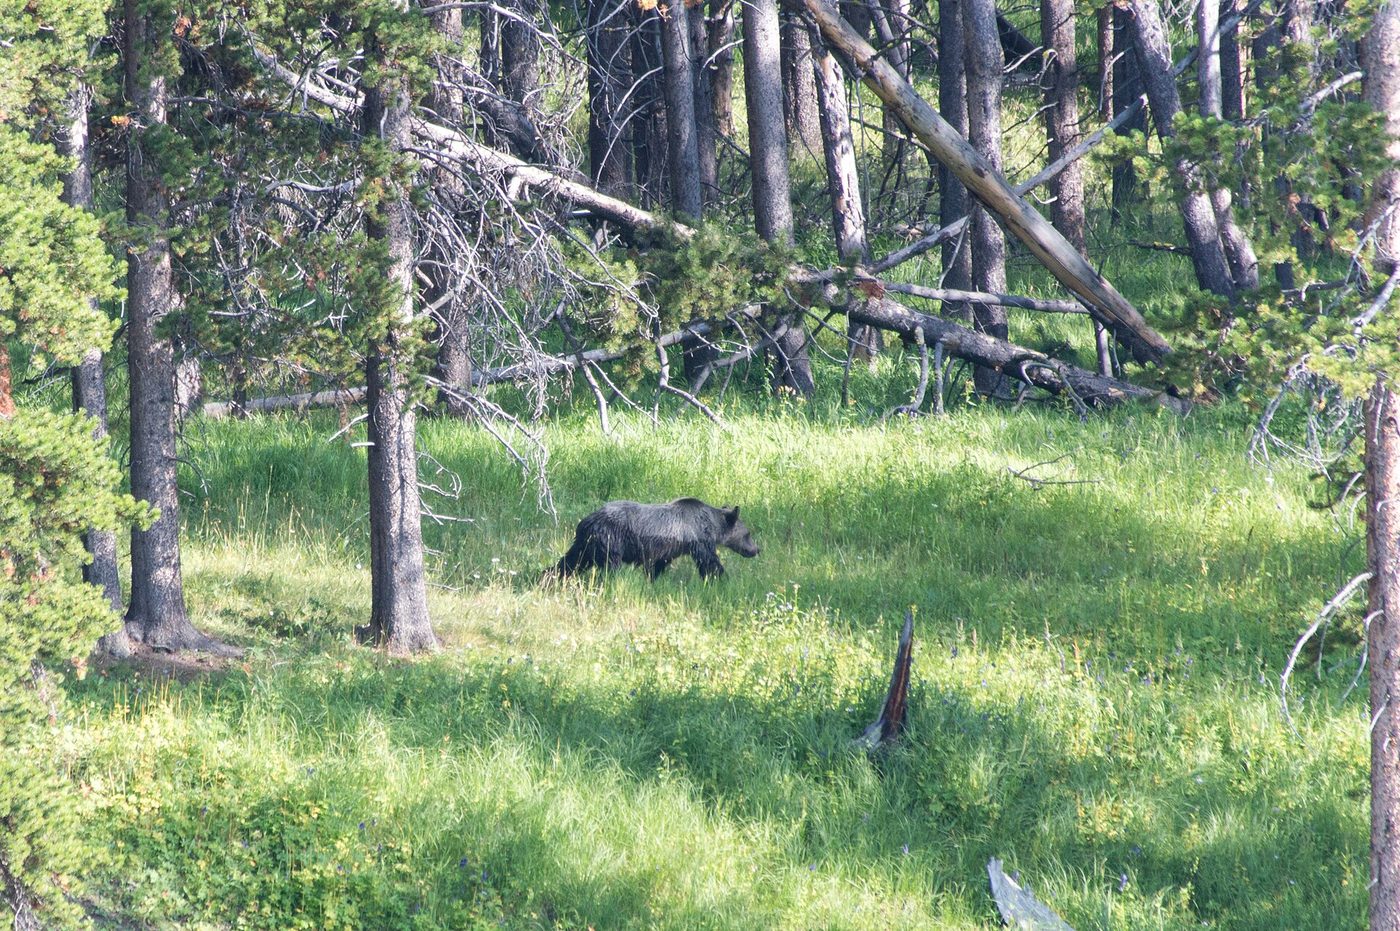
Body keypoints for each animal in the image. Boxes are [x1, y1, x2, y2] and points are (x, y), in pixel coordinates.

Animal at [550, 498, 760, 581]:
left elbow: (657, 565)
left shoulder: (668, 550)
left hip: (584, 546)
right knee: (610, 568)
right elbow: (710, 563)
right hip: (610, 542)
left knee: (568, 563)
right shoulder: (699, 541)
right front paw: (723, 579)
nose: (756, 549)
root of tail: (587, 522)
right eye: (748, 534)